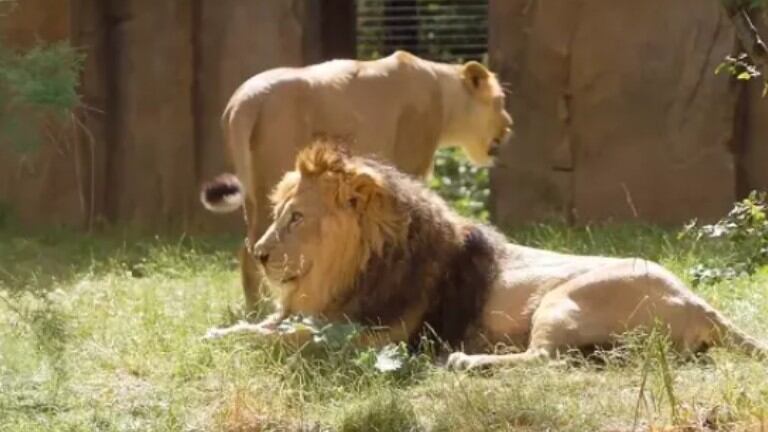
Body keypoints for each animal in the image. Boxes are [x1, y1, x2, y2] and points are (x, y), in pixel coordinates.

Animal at [200, 50, 510, 308]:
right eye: (500, 102)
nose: (509, 125)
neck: (443, 88)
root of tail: (244, 101)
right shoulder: (412, 161)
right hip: (274, 178)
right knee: (253, 250)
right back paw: (261, 309)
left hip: (253, 192)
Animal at [206, 143, 768, 372]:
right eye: (279, 213)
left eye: (297, 218)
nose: (260, 255)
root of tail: (699, 303)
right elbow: (268, 326)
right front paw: (222, 333)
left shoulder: (381, 336)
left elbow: (293, 339)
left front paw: (240, 344)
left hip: (563, 300)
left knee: (544, 360)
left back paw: (465, 361)